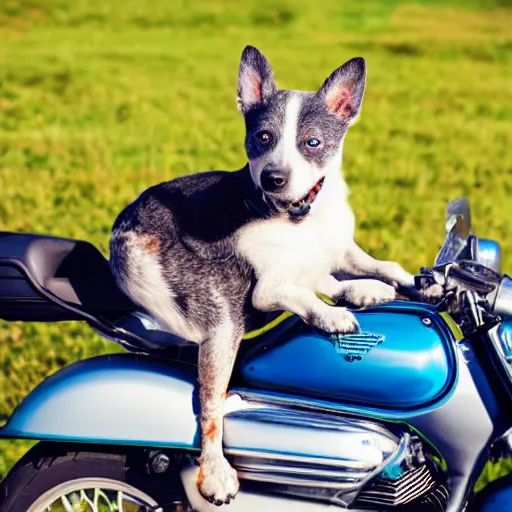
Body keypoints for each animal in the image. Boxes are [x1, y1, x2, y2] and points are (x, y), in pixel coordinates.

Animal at [109, 46, 416, 506]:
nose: (274, 178)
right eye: (263, 138)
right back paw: (217, 473)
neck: (301, 215)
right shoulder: (266, 291)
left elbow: (372, 265)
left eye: (312, 143)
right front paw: (330, 315)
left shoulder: (336, 248)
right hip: (222, 327)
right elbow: (300, 295)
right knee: (212, 406)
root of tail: (123, 231)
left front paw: (395, 281)